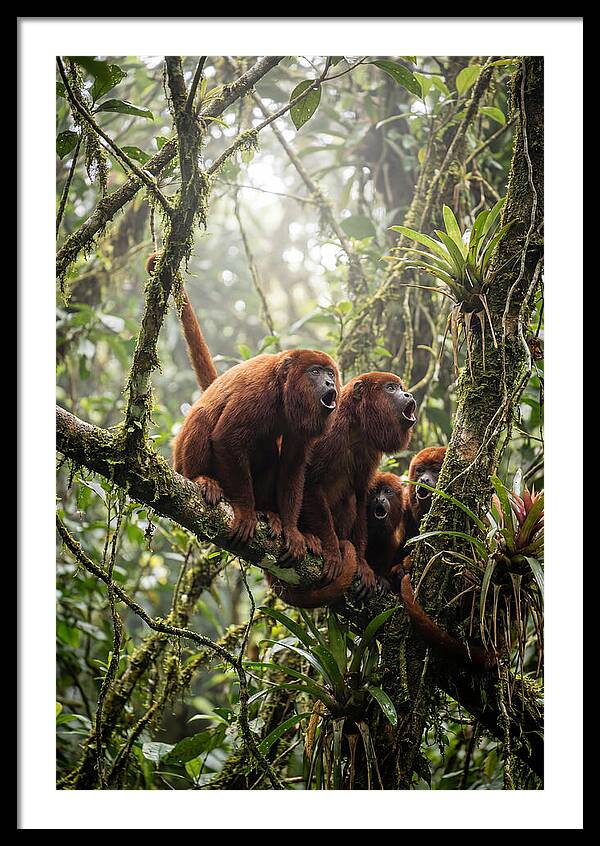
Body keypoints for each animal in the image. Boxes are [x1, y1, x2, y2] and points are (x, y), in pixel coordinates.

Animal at [147, 252, 341, 559]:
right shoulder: (257, 392)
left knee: (269, 451)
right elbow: (226, 438)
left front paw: (291, 529)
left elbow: (292, 466)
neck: (283, 391)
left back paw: (269, 514)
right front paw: (247, 512)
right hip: (181, 462)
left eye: (330, 373)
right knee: (203, 417)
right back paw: (204, 480)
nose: (330, 383)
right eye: (314, 372)